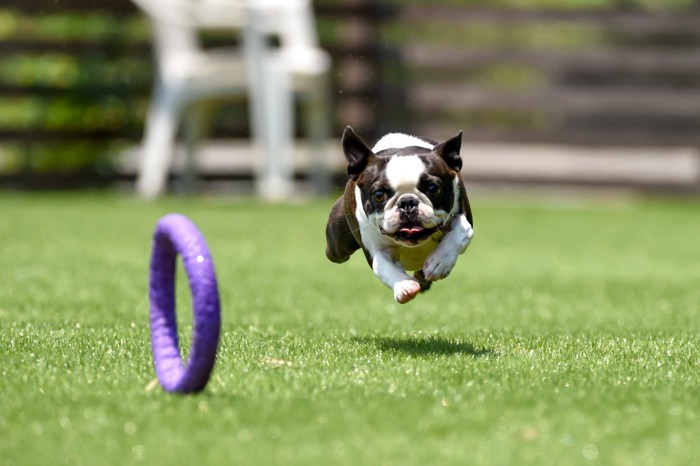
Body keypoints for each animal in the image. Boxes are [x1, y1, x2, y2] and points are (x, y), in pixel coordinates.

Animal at [326, 125, 474, 304]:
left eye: (432, 188)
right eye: (379, 195)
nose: (407, 203)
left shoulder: (463, 217)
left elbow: (461, 231)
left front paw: (440, 261)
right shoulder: (377, 250)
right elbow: (384, 268)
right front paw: (404, 286)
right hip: (337, 248)